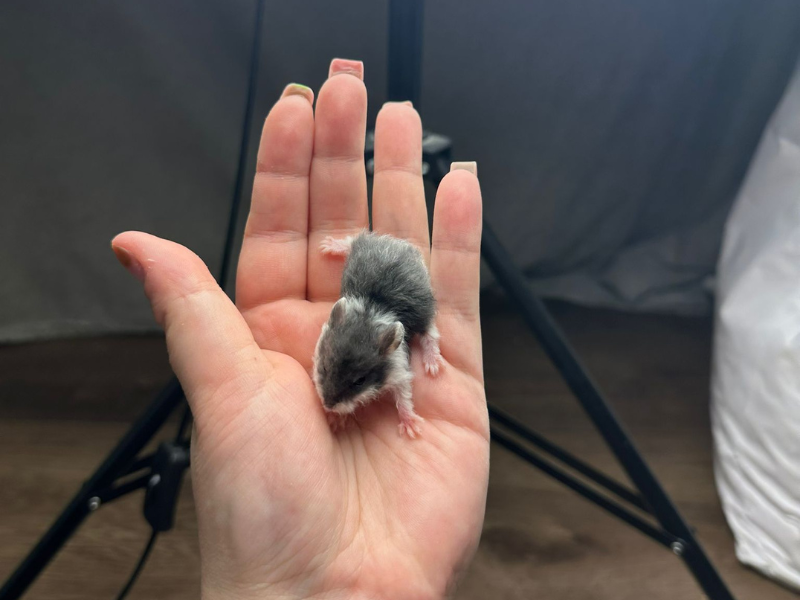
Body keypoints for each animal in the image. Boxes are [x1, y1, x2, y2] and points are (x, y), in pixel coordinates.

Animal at [312, 231, 443, 438]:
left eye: (360, 381)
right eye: (324, 367)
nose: (328, 406)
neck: (370, 311)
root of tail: (401, 245)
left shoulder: (400, 372)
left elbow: (404, 397)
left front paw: (412, 429)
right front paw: (336, 420)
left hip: (425, 310)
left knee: (430, 334)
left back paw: (433, 366)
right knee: (354, 239)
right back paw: (329, 245)